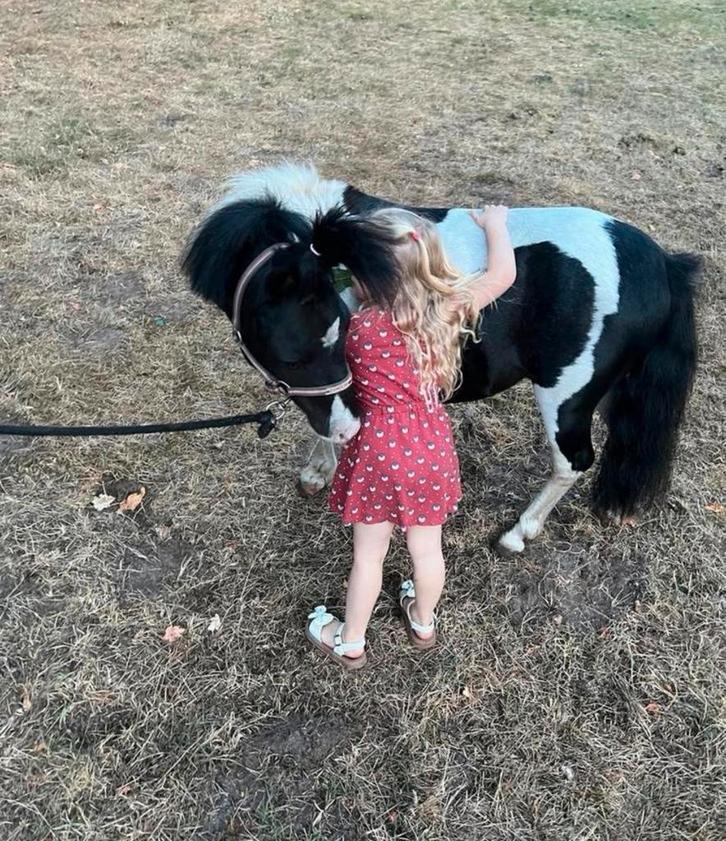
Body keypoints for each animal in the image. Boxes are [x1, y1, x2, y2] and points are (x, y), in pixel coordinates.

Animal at [182, 163, 699, 553]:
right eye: (291, 358)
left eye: (338, 333)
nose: (349, 430)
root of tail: (663, 265)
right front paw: (319, 468)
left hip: (565, 397)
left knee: (572, 462)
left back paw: (518, 534)